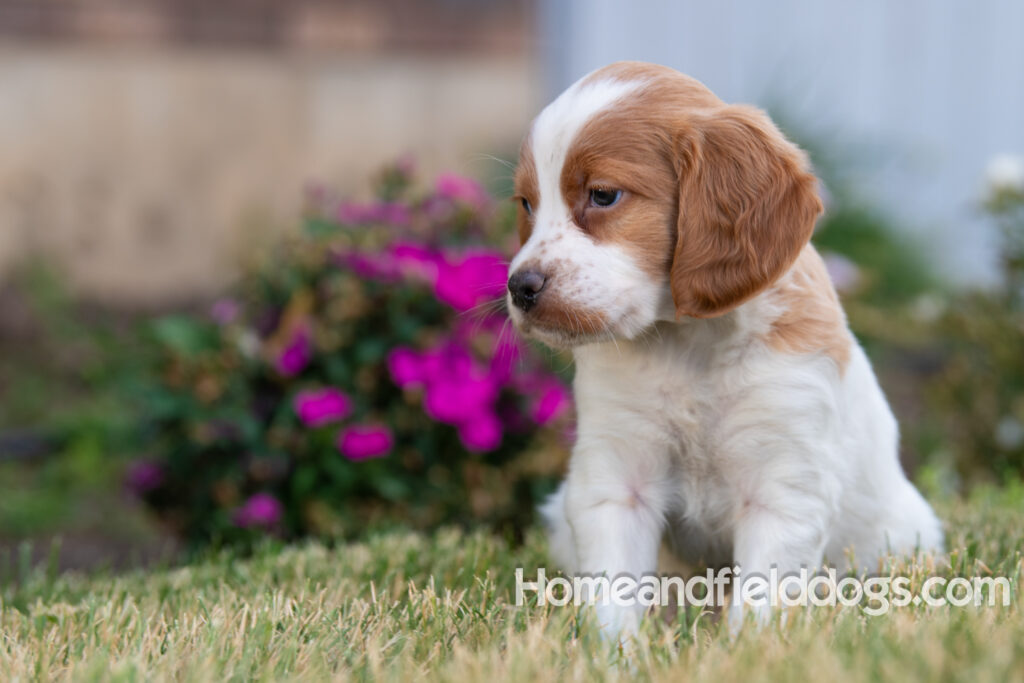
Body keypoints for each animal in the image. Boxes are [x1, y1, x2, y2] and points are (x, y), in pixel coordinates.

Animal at [503, 61, 942, 638]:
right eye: (527, 204)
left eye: (603, 195)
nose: (520, 287)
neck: (689, 344)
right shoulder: (618, 479)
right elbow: (612, 586)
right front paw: (612, 649)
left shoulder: (782, 486)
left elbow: (761, 596)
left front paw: (747, 648)